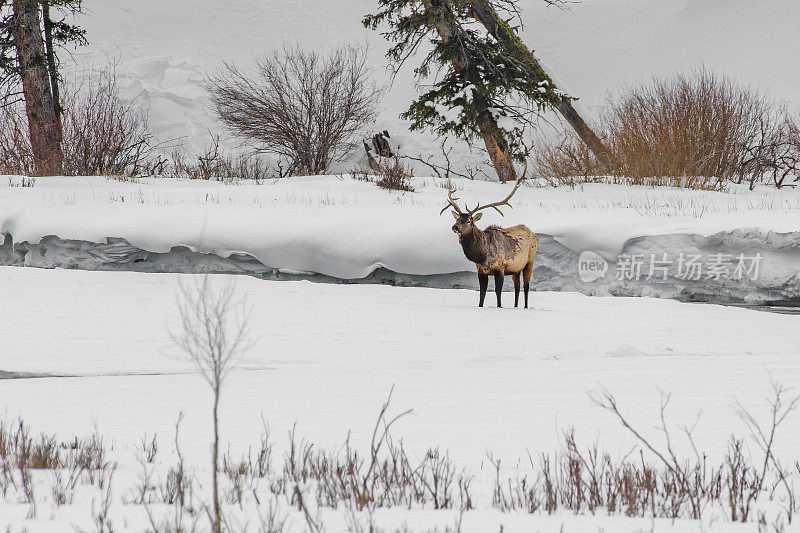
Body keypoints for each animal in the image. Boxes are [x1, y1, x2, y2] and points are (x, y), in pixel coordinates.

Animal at [444, 177, 536, 306]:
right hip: (516, 268)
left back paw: (525, 307)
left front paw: (499, 306)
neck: (482, 256)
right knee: (517, 287)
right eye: (457, 219)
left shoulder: (500, 268)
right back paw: (515, 306)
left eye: (468, 221)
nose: (455, 227)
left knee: (526, 286)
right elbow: (482, 293)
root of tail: (534, 234)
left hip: (530, 261)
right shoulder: (481, 270)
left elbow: (498, 291)